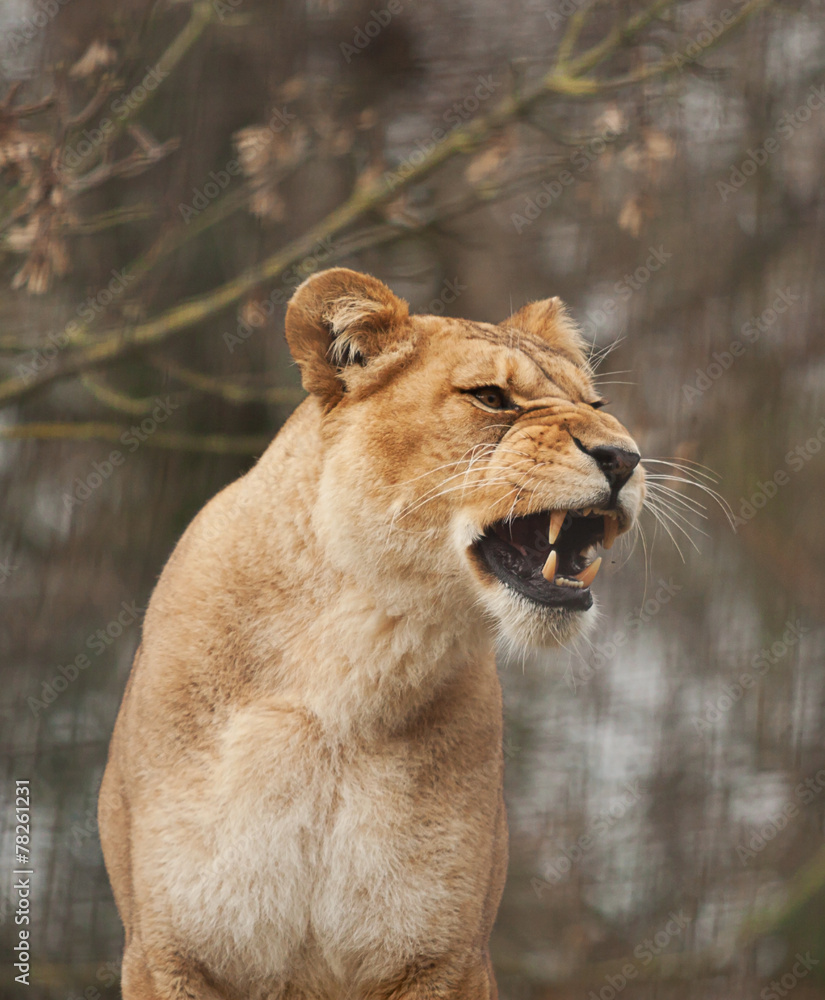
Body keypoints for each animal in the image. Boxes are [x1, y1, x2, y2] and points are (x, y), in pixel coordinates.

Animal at [98, 267, 644, 1000]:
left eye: (595, 402)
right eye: (491, 397)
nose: (624, 457)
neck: (352, 663)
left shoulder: (440, 957)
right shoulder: (171, 953)